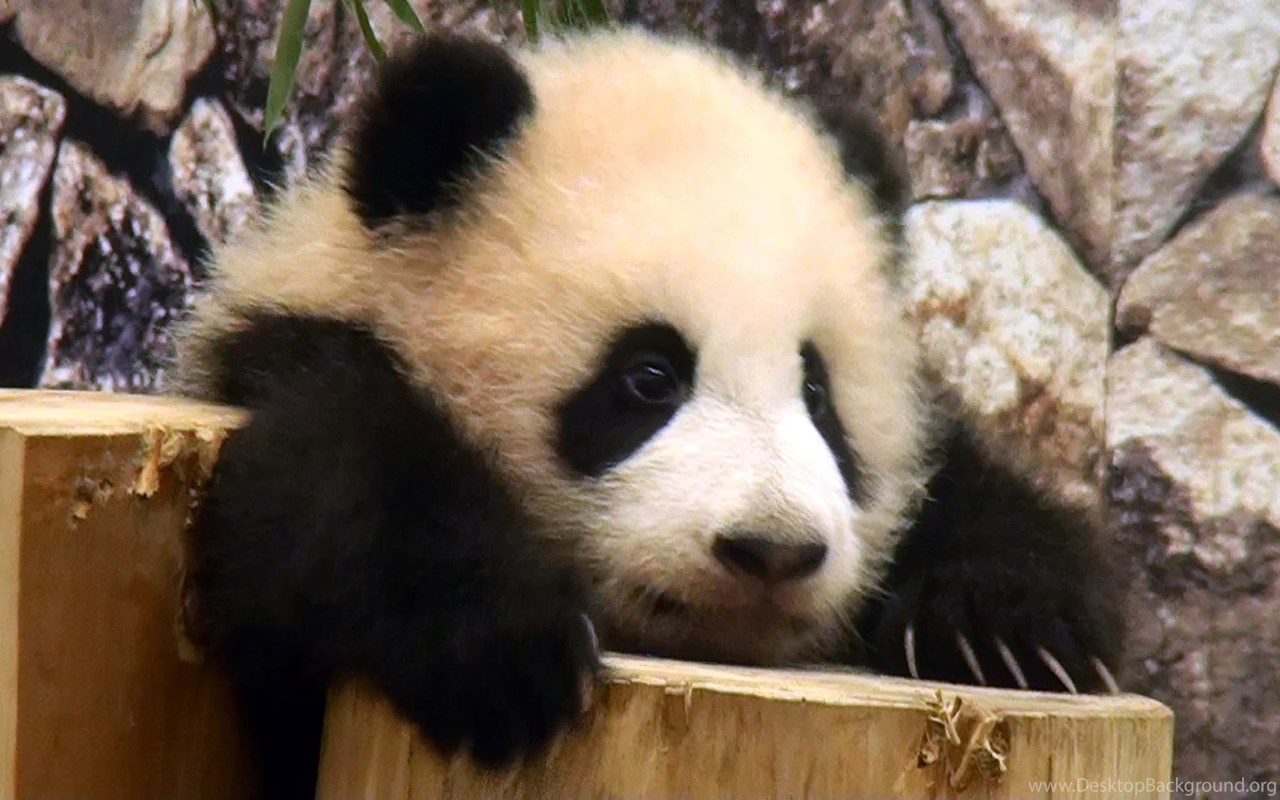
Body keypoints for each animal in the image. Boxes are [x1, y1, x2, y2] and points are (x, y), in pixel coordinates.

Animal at [171, 27, 1123, 800]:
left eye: (818, 393)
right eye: (649, 378)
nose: (774, 550)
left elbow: (986, 498)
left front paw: (1008, 633)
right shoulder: (279, 363)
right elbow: (341, 475)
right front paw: (503, 653)